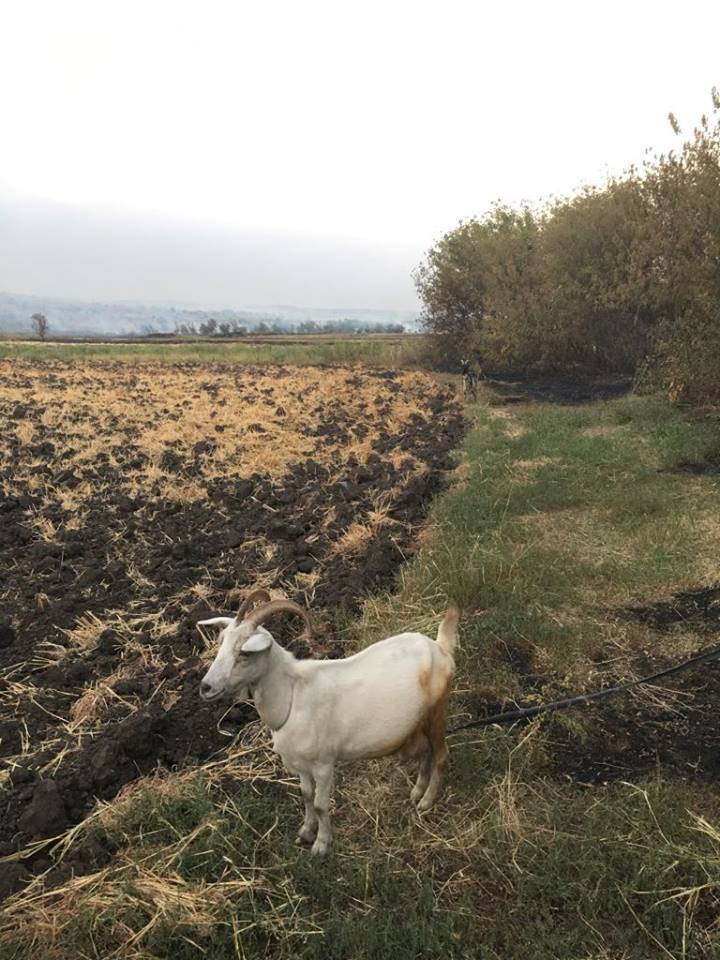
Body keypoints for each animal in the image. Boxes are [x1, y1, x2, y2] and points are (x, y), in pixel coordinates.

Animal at [197, 592, 458, 856]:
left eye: (244, 653)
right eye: (221, 646)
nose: (205, 687)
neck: (292, 696)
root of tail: (439, 647)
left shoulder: (323, 763)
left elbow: (321, 804)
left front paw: (322, 844)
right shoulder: (300, 764)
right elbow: (306, 795)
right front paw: (306, 831)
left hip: (437, 712)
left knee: (441, 755)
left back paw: (426, 801)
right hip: (416, 724)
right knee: (425, 751)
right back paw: (417, 792)